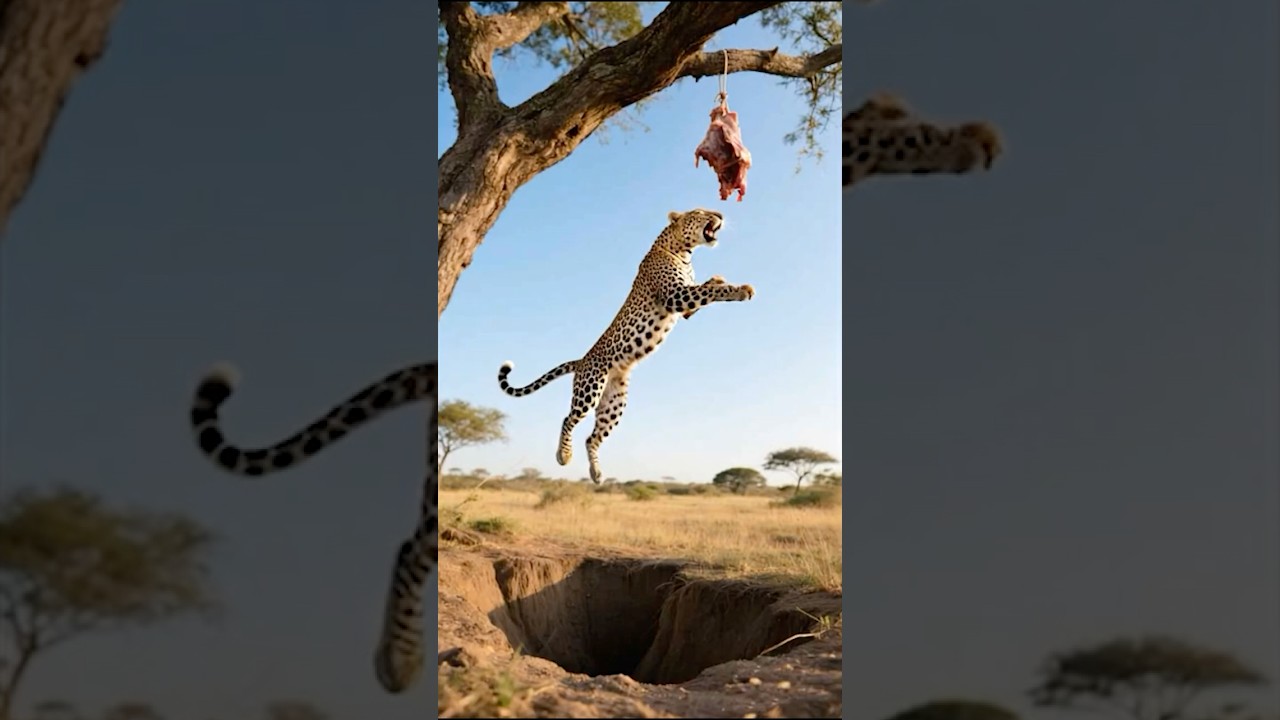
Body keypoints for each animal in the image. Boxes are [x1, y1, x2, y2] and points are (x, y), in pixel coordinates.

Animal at [497, 208, 754, 483]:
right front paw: (740, 289)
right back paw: (564, 455)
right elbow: (711, 293)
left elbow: (705, 288)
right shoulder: (675, 296)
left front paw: (718, 279)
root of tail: (582, 360)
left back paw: (596, 473)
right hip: (590, 389)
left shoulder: (685, 305)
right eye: (700, 212)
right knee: (568, 419)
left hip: (613, 403)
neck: (683, 253)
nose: (721, 215)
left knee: (591, 438)